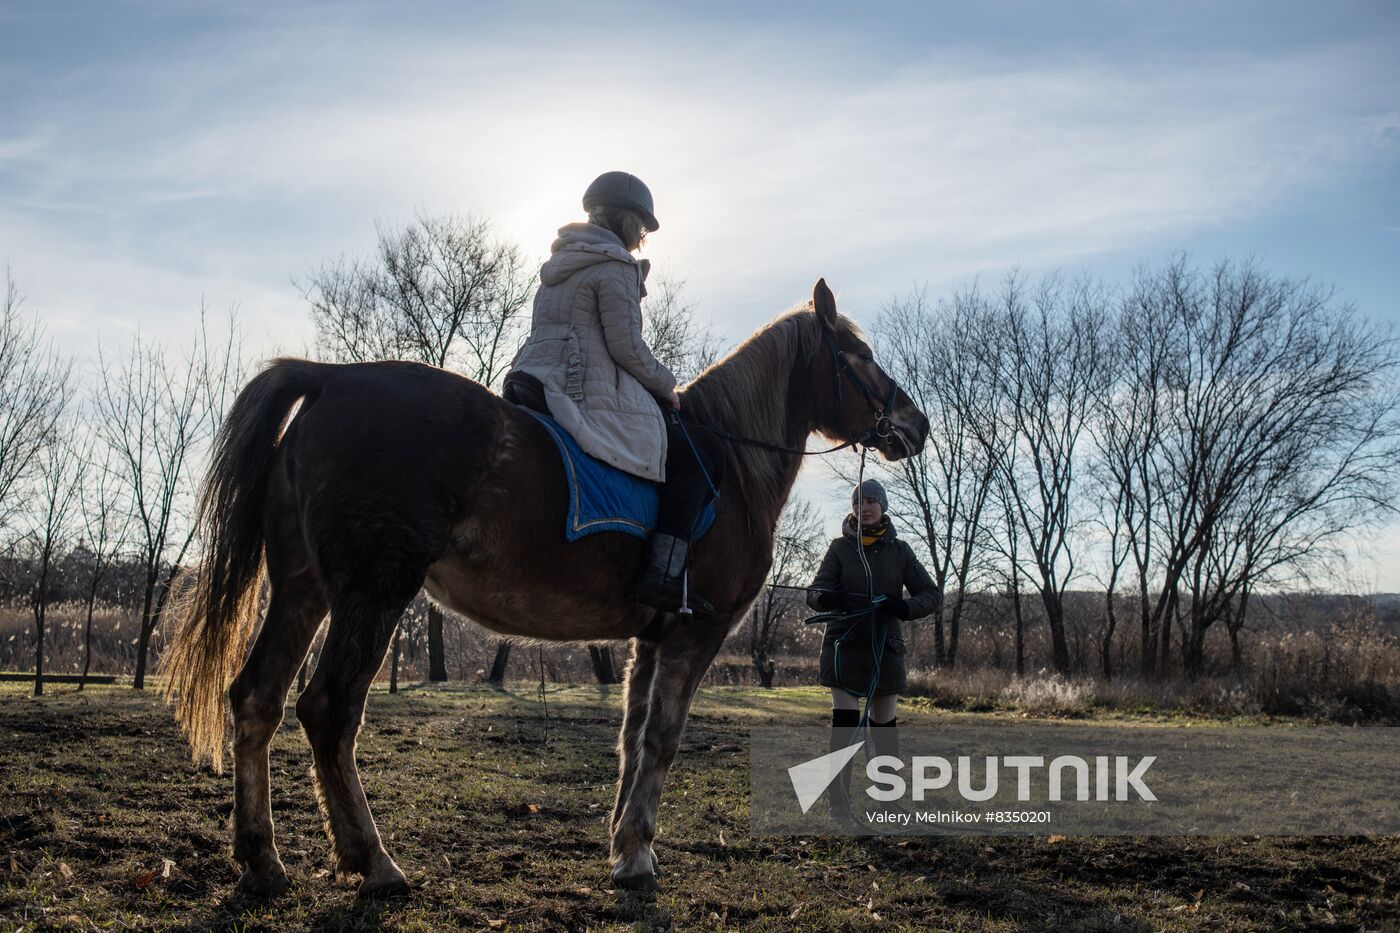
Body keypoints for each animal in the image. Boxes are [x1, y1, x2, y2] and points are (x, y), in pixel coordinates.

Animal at [161, 275, 929, 896]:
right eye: (859, 355)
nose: (916, 424)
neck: (732, 462)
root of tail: (331, 377)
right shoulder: (696, 631)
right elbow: (663, 740)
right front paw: (637, 856)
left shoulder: (650, 638)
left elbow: (631, 739)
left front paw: (622, 845)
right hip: (373, 593)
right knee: (327, 709)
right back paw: (372, 860)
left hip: (303, 590)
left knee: (256, 698)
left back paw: (261, 860)